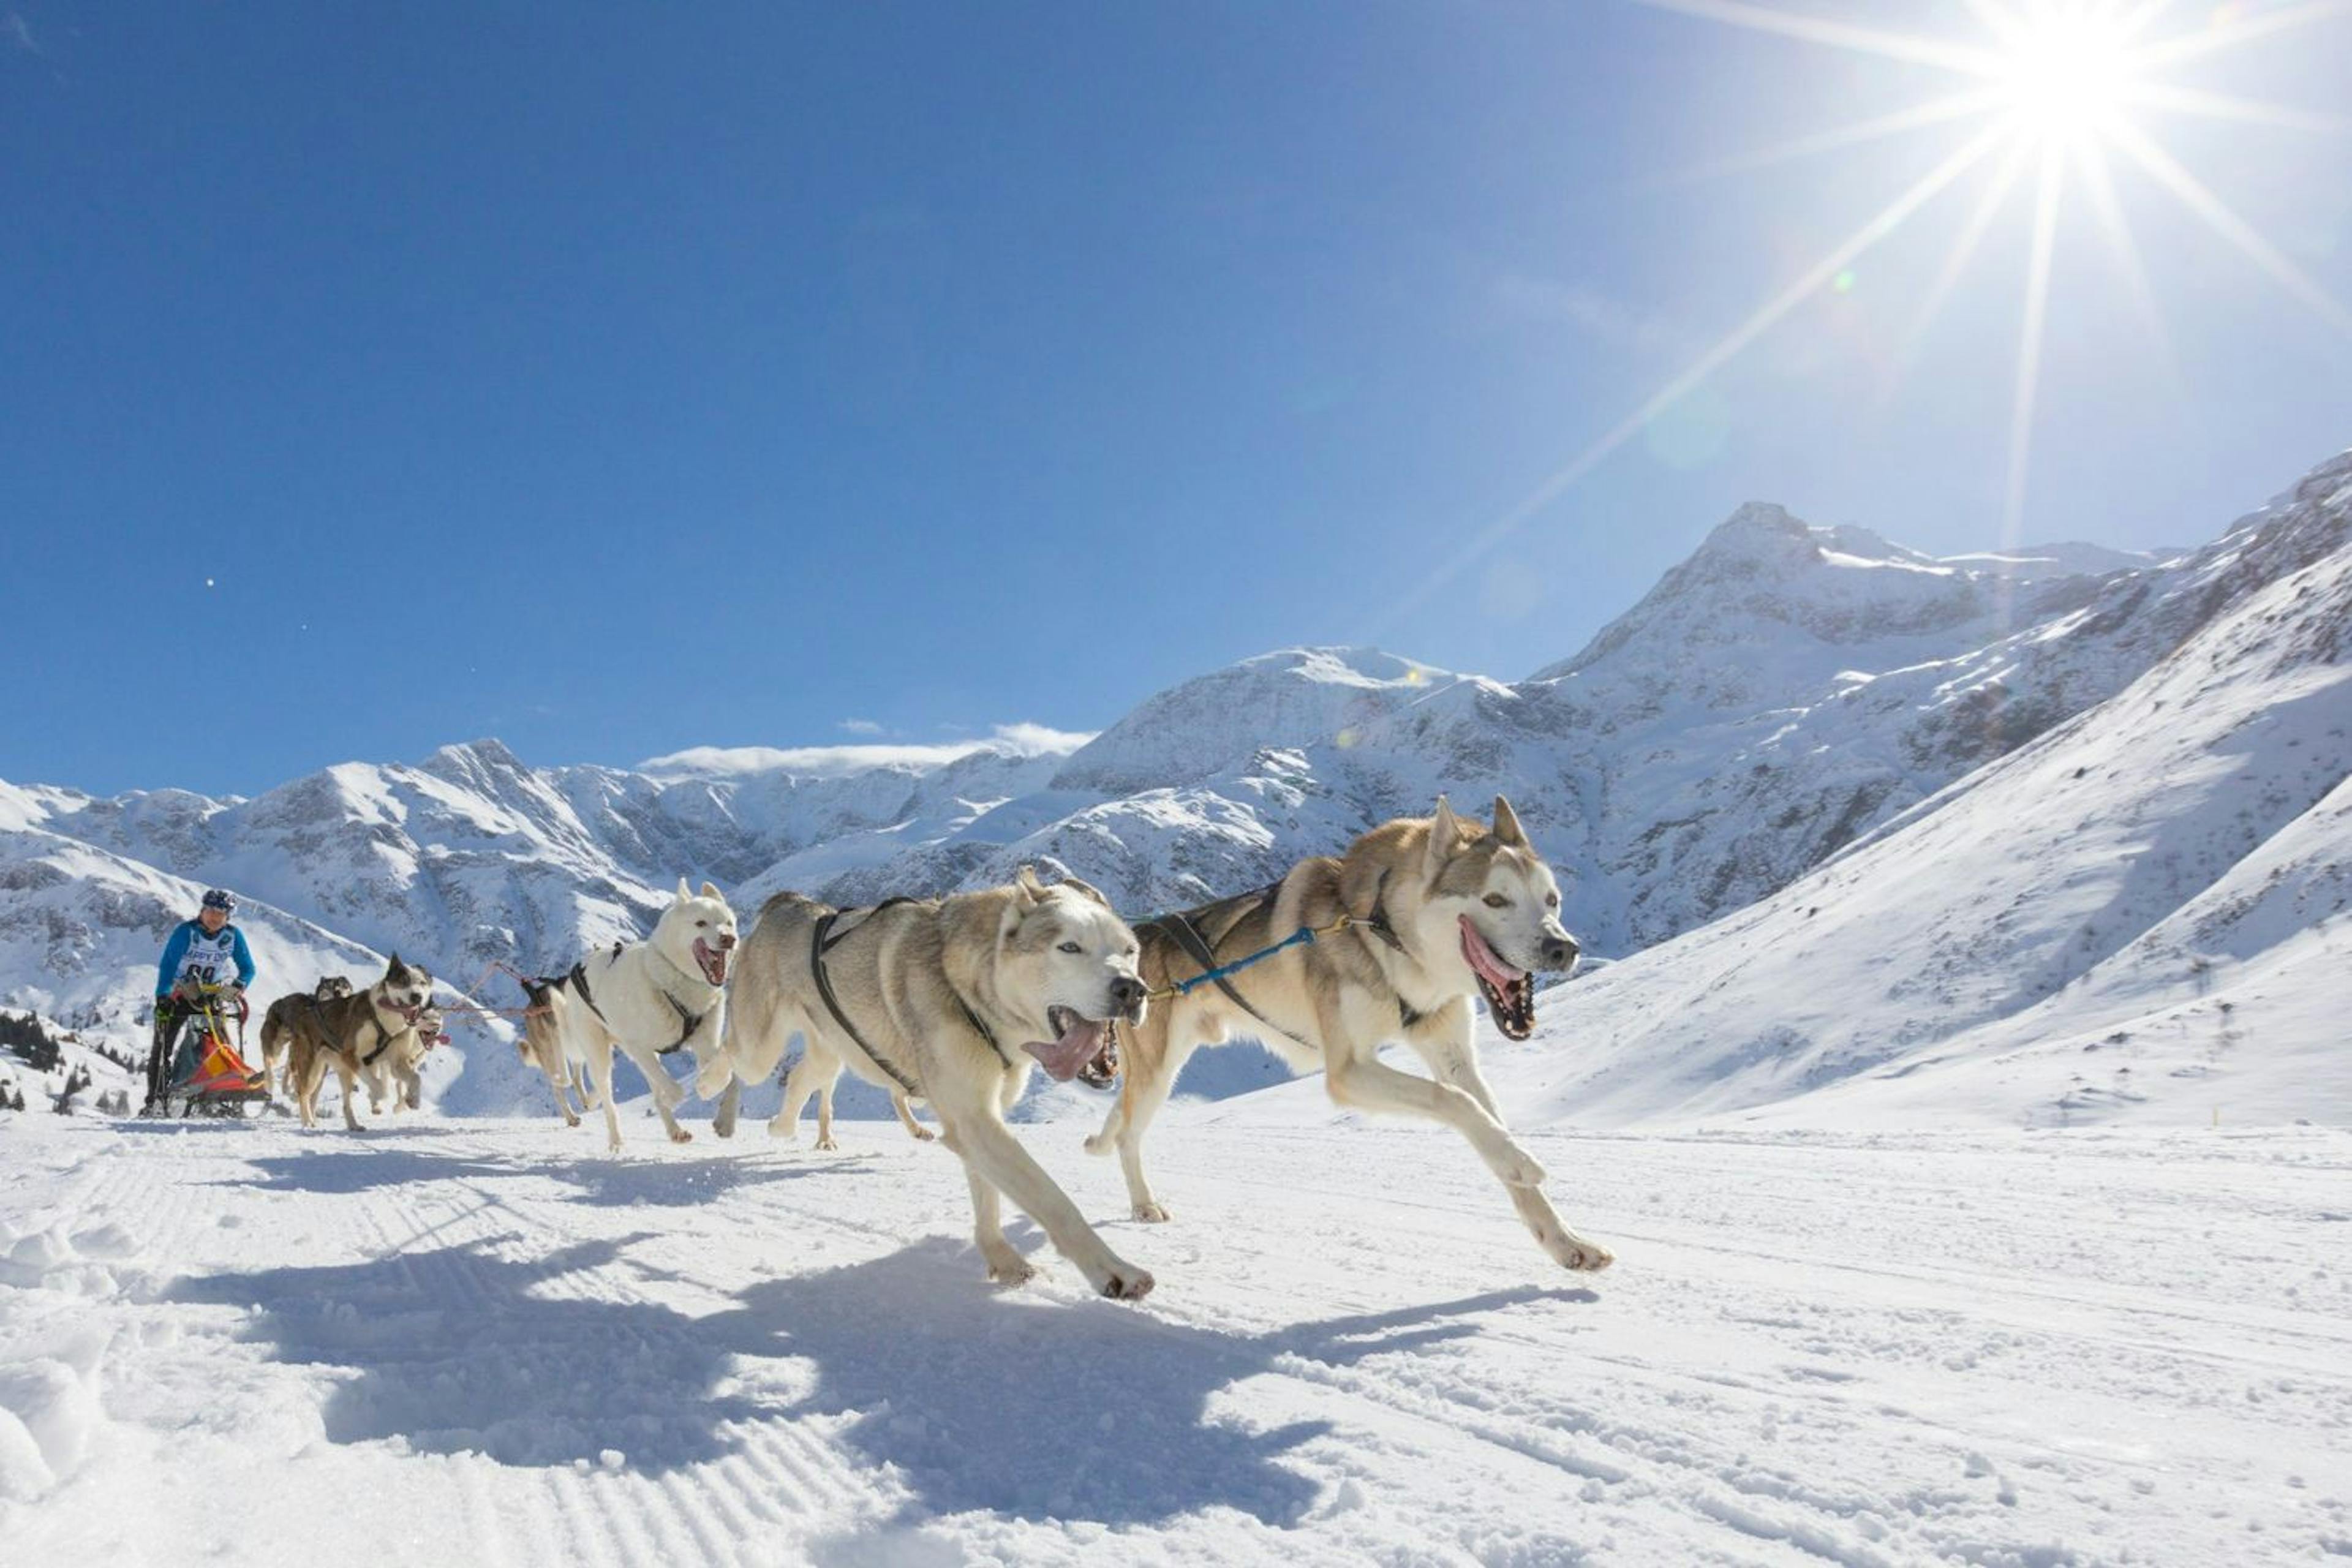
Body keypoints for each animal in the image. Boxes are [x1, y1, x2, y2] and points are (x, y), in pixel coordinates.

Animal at [1087, 799, 1608, 1278]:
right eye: (1496, 899)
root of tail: (1137, 936)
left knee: (1122, 1121)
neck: (1387, 934)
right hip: (1159, 1073)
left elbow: (1486, 1123)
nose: (1563, 949)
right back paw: (1144, 1204)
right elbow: (1450, 1101)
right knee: (1129, 1136)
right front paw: (1522, 1160)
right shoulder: (1349, 1070)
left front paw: (1564, 1240)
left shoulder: (1453, 1055)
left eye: (1552, 900)